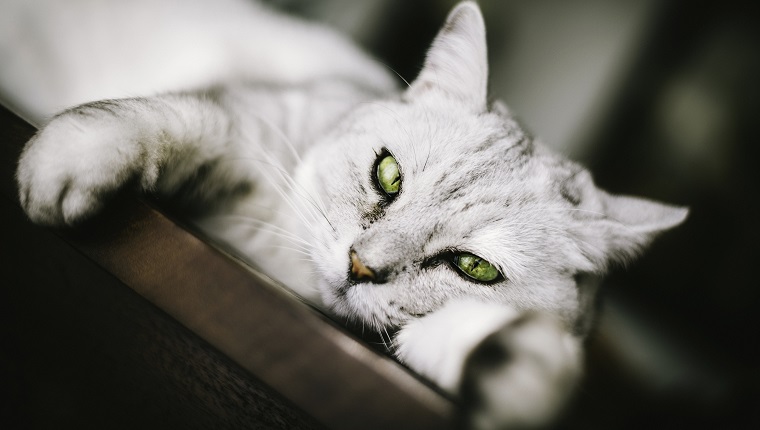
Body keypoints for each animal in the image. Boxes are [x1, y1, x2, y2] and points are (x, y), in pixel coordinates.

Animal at [7, 1, 688, 428]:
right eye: (388, 175)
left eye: (474, 268)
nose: (361, 266)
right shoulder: (249, 123)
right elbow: (174, 116)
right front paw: (73, 155)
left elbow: (535, 366)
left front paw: (505, 370)